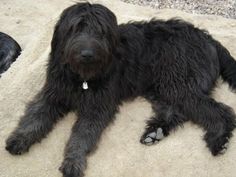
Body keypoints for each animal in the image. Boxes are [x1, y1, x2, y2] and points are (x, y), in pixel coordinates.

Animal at [5, 2, 236, 177]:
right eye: (76, 28)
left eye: (101, 31)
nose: (87, 54)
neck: (82, 77)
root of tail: (208, 38)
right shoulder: (54, 94)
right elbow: (35, 117)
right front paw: (19, 139)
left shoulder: (97, 107)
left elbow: (82, 134)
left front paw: (73, 161)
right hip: (162, 86)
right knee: (176, 110)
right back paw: (156, 132)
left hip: (179, 83)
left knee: (221, 111)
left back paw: (218, 139)